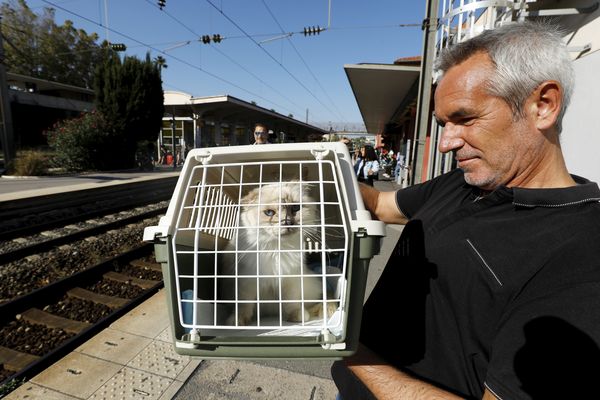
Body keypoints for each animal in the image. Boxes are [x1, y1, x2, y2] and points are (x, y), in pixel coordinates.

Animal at [221, 181, 338, 324]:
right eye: (269, 213)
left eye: (295, 208)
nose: (287, 222)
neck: (277, 249)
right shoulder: (247, 282)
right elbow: (244, 306)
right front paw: (238, 321)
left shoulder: (290, 281)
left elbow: (291, 303)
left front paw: (296, 317)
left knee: (316, 303)